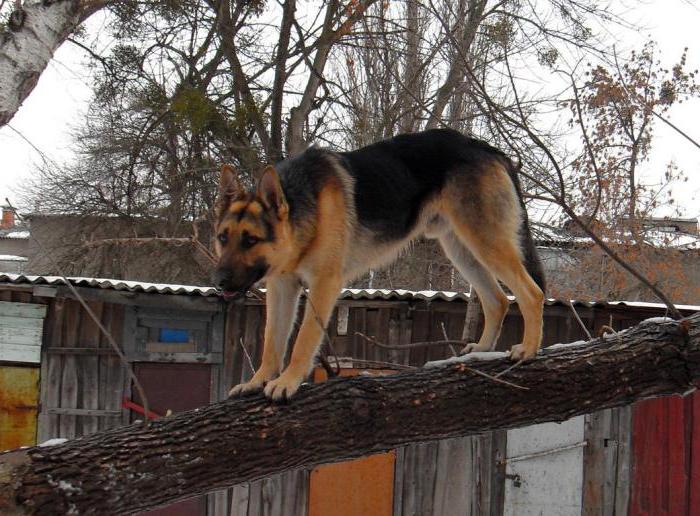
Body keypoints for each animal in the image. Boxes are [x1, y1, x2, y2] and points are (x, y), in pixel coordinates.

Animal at [216, 128, 544, 400]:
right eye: (222, 237)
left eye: (250, 240)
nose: (218, 282)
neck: (302, 206)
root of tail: (486, 147)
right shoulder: (282, 286)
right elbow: (272, 342)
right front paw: (256, 381)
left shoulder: (324, 283)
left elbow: (304, 339)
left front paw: (288, 381)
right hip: (461, 250)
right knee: (498, 300)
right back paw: (480, 352)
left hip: (485, 241)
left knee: (531, 293)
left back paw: (528, 349)